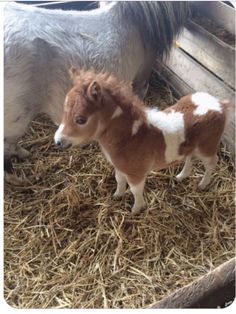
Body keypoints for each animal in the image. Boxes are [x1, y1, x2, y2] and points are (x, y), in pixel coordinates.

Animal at [54, 68, 230, 215]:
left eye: (81, 119)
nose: (58, 141)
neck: (131, 136)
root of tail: (219, 104)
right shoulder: (119, 166)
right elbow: (119, 180)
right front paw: (117, 195)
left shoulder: (136, 173)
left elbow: (135, 190)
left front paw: (136, 209)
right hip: (192, 146)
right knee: (190, 157)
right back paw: (181, 176)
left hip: (207, 146)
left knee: (212, 162)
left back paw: (203, 184)